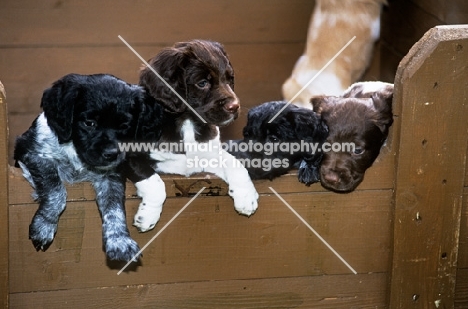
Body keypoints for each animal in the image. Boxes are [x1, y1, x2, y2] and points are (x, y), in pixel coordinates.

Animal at [14, 73, 163, 260]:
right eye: (89, 123)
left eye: (124, 126)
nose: (111, 154)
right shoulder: (32, 154)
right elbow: (56, 190)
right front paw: (44, 225)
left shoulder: (111, 176)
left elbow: (115, 209)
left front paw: (120, 240)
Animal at [125, 39, 260, 231]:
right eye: (202, 83)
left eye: (229, 79)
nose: (235, 106)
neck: (187, 123)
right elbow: (154, 182)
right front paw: (147, 217)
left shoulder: (206, 154)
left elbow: (234, 163)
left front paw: (246, 196)